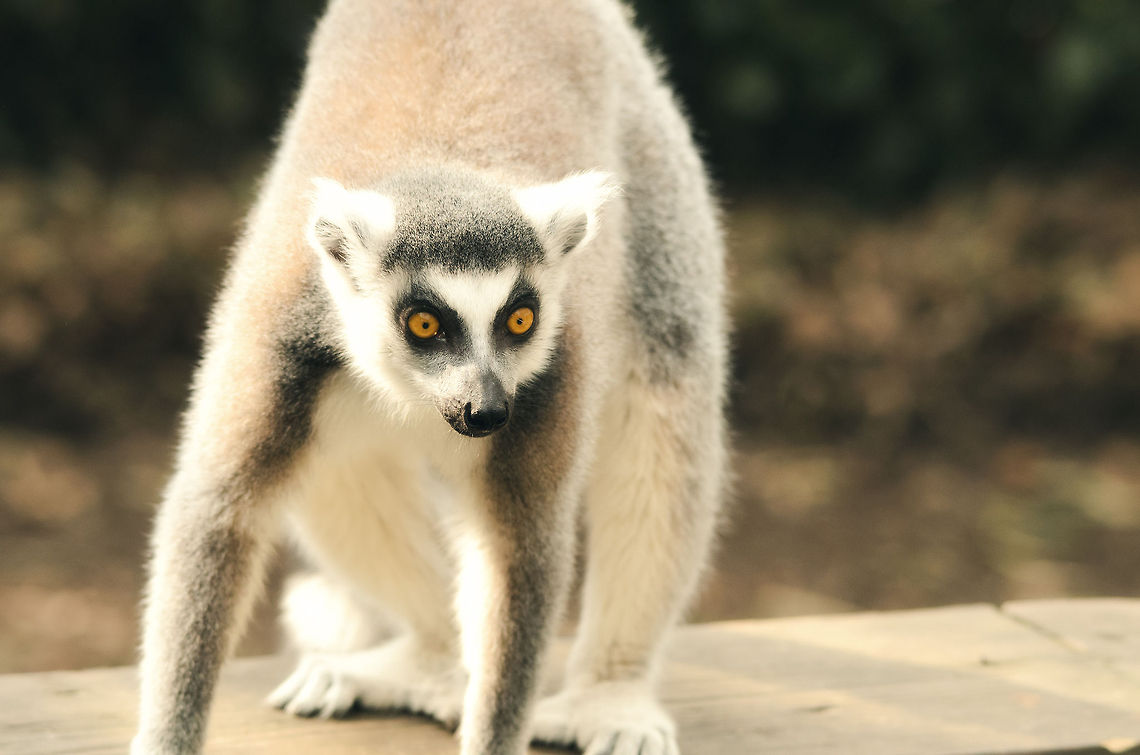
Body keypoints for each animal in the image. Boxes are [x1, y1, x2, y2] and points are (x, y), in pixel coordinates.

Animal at [132, 1, 727, 754]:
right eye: (423, 324)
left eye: (521, 319)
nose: (486, 410)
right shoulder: (281, 338)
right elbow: (220, 513)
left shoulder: (552, 373)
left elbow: (518, 549)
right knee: (336, 472)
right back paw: (432, 661)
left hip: (651, 151)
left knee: (664, 403)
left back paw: (609, 693)